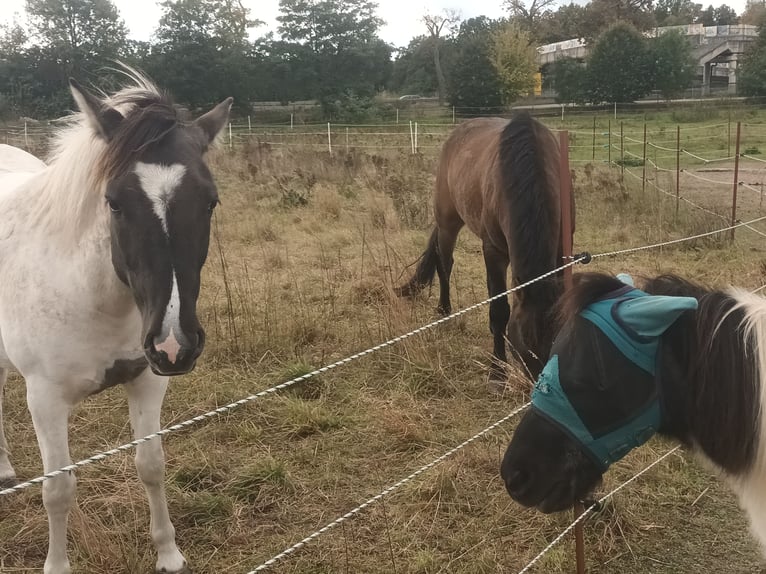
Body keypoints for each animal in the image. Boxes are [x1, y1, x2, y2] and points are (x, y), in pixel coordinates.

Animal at [0, 72, 234, 574]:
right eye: (114, 203)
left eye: (210, 202)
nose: (176, 343)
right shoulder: (45, 400)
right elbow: (58, 490)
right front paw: (57, 566)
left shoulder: (147, 378)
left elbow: (151, 464)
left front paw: (168, 554)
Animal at [400, 112, 572, 382]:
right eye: (525, 344)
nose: (541, 385)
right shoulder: (494, 253)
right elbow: (499, 311)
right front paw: (497, 371)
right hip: (448, 222)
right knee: (444, 263)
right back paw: (444, 311)